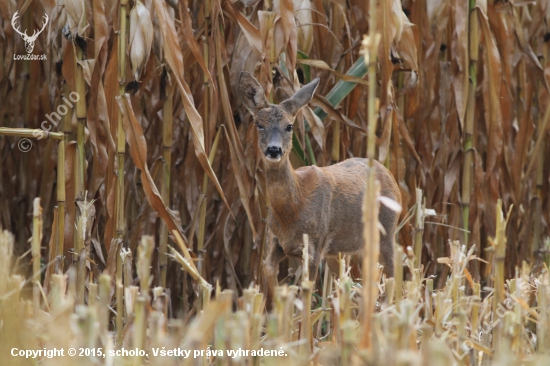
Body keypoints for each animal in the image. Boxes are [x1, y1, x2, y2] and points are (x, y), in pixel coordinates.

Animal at [239, 71, 404, 288]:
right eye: (259, 124)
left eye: (289, 126)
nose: (274, 150)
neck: (294, 207)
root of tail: (389, 174)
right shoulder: (275, 241)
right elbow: (268, 270)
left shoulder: (315, 243)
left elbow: (307, 286)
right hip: (340, 250)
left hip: (386, 231)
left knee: (393, 278)